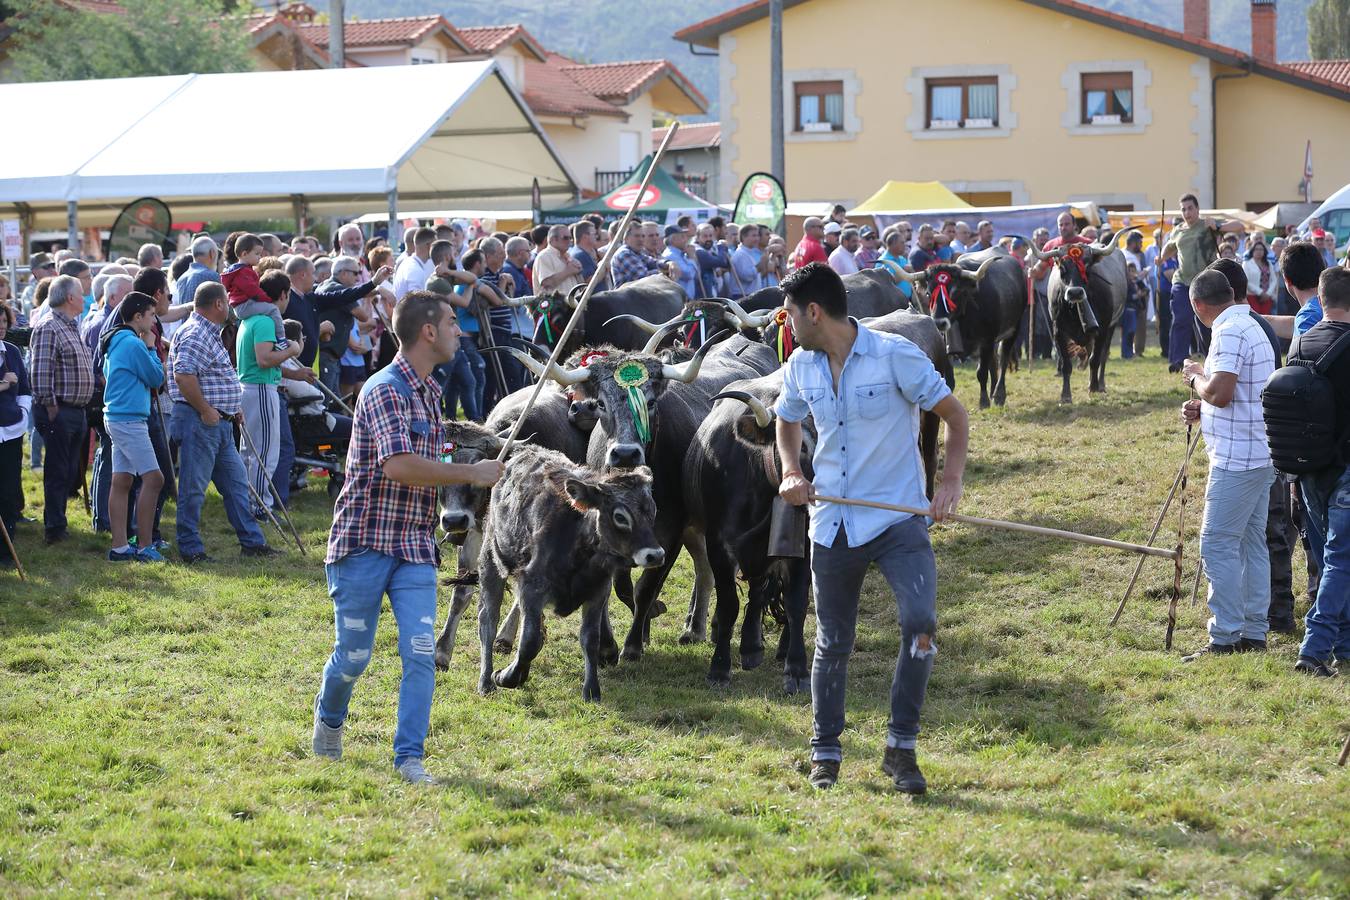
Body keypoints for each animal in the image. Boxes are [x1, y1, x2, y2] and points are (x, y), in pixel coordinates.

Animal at [475, 447, 664, 701]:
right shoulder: (532, 588)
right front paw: (505, 676)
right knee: (488, 620)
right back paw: (486, 681)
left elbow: (589, 640)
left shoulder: (598, 591)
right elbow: (529, 641)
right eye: (620, 516)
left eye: (652, 510)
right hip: (491, 560)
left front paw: (592, 690)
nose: (656, 555)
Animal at [685, 369, 810, 696]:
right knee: (755, 591)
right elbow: (730, 604)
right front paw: (719, 668)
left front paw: (797, 670)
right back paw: (750, 646)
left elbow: (797, 602)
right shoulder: (719, 547)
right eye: (799, 446)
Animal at [1031, 230, 1128, 402]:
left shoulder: (1102, 329)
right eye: (1062, 267)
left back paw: (1100, 384)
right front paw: (1065, 395)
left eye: (1087, 266)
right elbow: (1066, 365)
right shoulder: (1058, 332)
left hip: (1112, 326)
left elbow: (1095, 360)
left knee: (1103, 356)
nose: (1075, 292)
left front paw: (1093, 388)